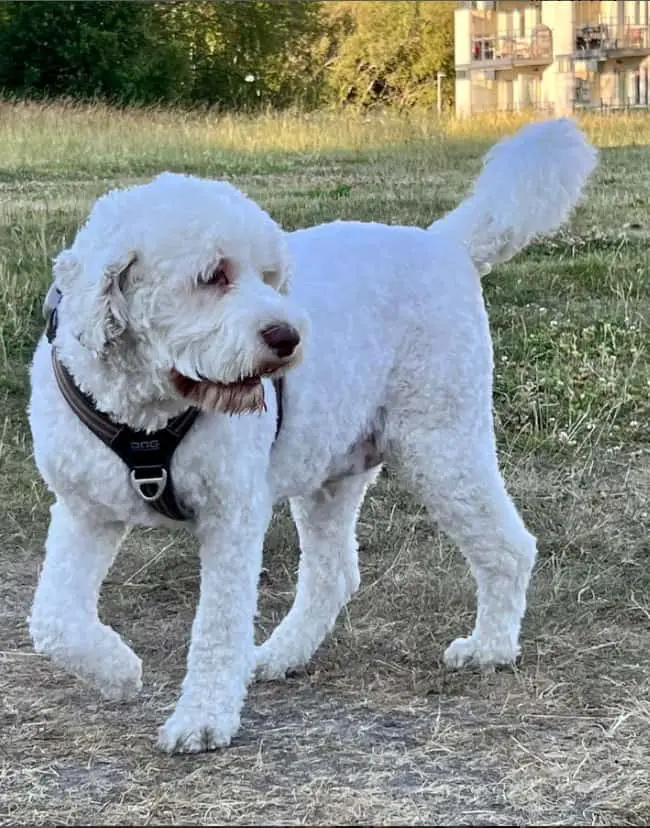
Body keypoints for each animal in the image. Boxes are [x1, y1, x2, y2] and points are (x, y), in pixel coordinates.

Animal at [30, 119, 596, 752]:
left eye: (270, 277)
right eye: (212, 276)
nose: (288, 336)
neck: (146, 411)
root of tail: (445, 243)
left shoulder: (232, 518)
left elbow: (217, 628)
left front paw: (202, 718)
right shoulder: (84, 511)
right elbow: (51, 621)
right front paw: (118, 671)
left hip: (442, 446)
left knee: (507, 547)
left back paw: (491, 648)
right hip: (331, 473)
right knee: (334, 576)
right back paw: (281, 653)